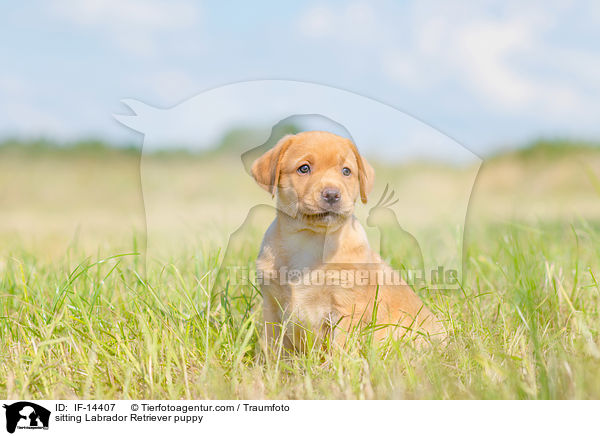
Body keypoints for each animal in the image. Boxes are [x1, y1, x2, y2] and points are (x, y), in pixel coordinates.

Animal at [251, 130, 442, 350]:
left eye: (346, 171)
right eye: (304, 168)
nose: (332, 194)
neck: (311, 238)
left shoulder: (346, 309)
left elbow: (339, 349)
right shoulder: (272, 308)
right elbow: (271, 348)